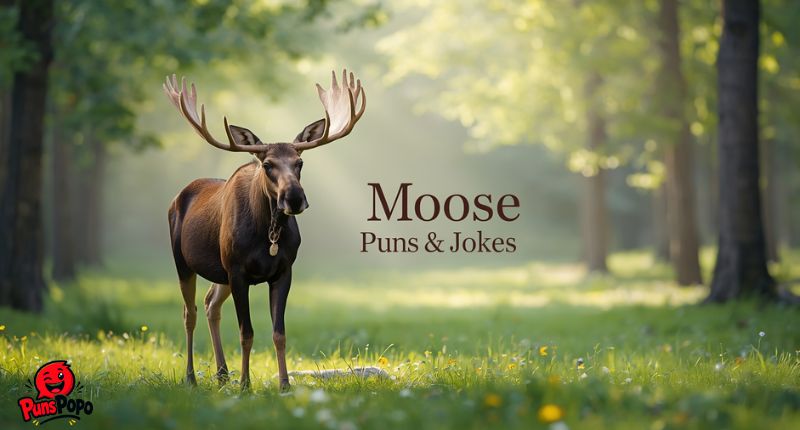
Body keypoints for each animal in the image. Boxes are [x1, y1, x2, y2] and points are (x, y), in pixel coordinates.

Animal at [163, 69, 365, 391]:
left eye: (300, 162)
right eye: (268, 164)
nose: (294, 198)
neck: (265, 236)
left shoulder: (283, 270)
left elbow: (279, 333)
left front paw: (284, 385)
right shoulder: (237, 270)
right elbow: (246, 333)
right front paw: (245, 385)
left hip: (220, 271)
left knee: (210, 305)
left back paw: (222, 374)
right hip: (183, 261)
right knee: (189, 313)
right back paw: (192, 377)